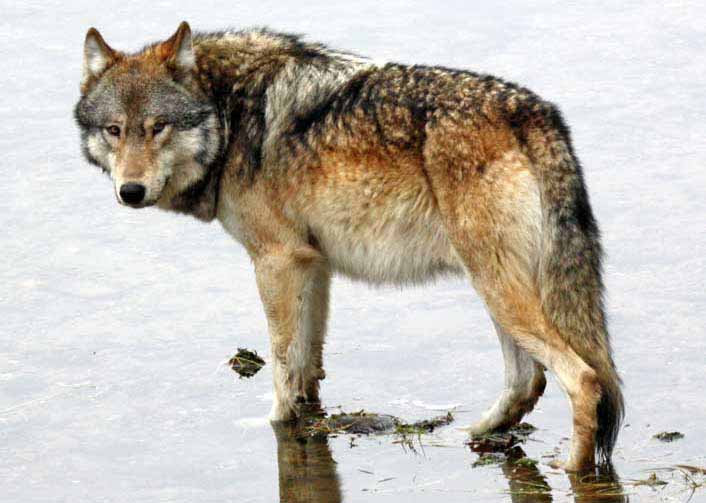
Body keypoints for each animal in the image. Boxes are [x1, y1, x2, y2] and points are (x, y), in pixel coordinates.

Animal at [71, 21, 620, 472]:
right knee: (529, 380)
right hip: (496, 288)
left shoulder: (276, 261)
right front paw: (306, 415)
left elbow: (282, 362)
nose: (130, 191)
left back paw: (574, 468)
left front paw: (271, 423)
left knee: (583, 379)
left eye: (158, 127)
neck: (229, 114)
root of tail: (536, 114)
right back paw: (478, 432)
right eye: (114, 130)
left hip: (497, 287)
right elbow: (307, 364)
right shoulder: (313, 264)